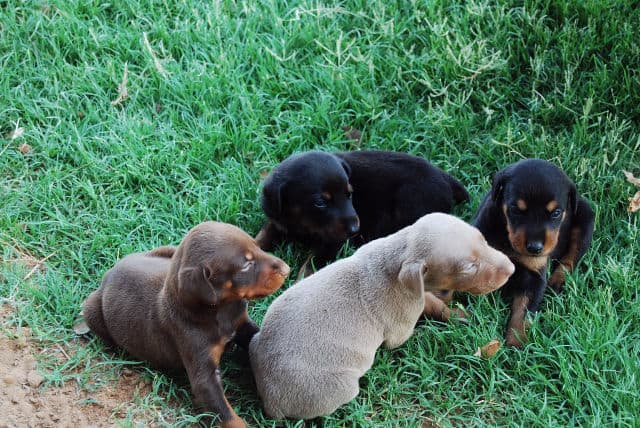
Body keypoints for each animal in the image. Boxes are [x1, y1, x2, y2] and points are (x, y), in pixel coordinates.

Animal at [82, 222, 290, 426]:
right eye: (246, 265)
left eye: (257, 246)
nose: (287, 269)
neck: (220, 310)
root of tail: (108, 274)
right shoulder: (203, 373)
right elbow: (226, 414)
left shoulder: (241, 322)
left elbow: (256, 335)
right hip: (90, 310)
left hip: (167, 250)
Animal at [255, 150, 470, 270]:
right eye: (320, 202)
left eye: (349, 194)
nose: (354, 230)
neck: (300, 222)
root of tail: (446, 179)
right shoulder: (276, 221)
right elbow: (259, 240)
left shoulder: (332, 242)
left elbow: (309, 267)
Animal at [470, 159, 596, 346]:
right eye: (516, 209)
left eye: (556, 213)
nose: (535, 248)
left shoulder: (534, 275)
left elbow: (522, 313)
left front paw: (515, 344)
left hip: (585, 219)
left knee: (571, 258)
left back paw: (557, 283)